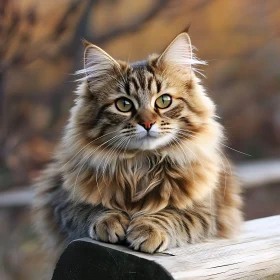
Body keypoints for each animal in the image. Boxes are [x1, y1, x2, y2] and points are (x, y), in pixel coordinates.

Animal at [32, 30, 243, 260]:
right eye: (124, 105)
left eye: (164, 101)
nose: (147, 123)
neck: (141, 165)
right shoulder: (61, 202)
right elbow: (90, 209)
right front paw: (110, 220)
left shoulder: (205, 209)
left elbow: (171, 214)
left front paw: (148, 230)